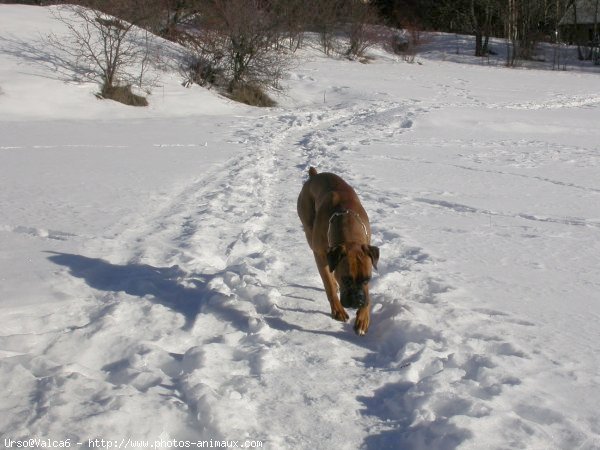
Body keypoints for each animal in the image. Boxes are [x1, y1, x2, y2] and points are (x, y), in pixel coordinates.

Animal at [296, 167, 378, 336]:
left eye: (367, 279)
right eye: (346, 280)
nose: (358, 299)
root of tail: (314, 175)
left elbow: (368, 293)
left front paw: (363, 318)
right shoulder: (320, 255)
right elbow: (328, 284)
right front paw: (337, 310)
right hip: (308, 231)